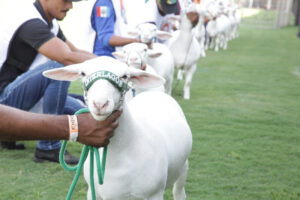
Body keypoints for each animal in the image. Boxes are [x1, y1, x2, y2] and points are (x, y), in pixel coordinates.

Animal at [42, 56, 192, 200]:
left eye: (125, 76)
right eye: (83, 73)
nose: (100, 104)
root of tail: (154, 93)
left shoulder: (154, 194)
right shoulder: (93, 192)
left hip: (183, 167)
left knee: (179, 193)